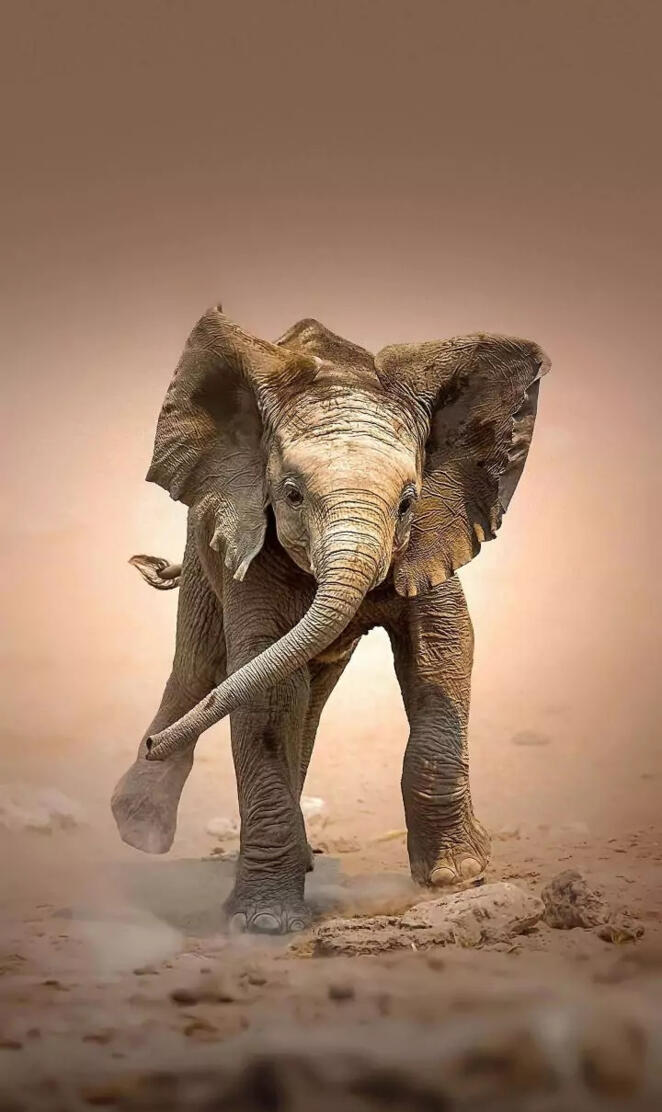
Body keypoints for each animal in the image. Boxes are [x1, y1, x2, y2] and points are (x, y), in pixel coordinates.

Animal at [111, 306, 550, 935]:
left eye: (408, 502)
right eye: (292, 495)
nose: (152, 745)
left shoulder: (435, 534)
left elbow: (443, 649)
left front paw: (457, 876)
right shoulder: (249, 540)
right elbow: (262, 690)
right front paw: (265, 925)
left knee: (304, 698)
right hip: (203, 546)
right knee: (200, 670)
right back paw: (141, 829)